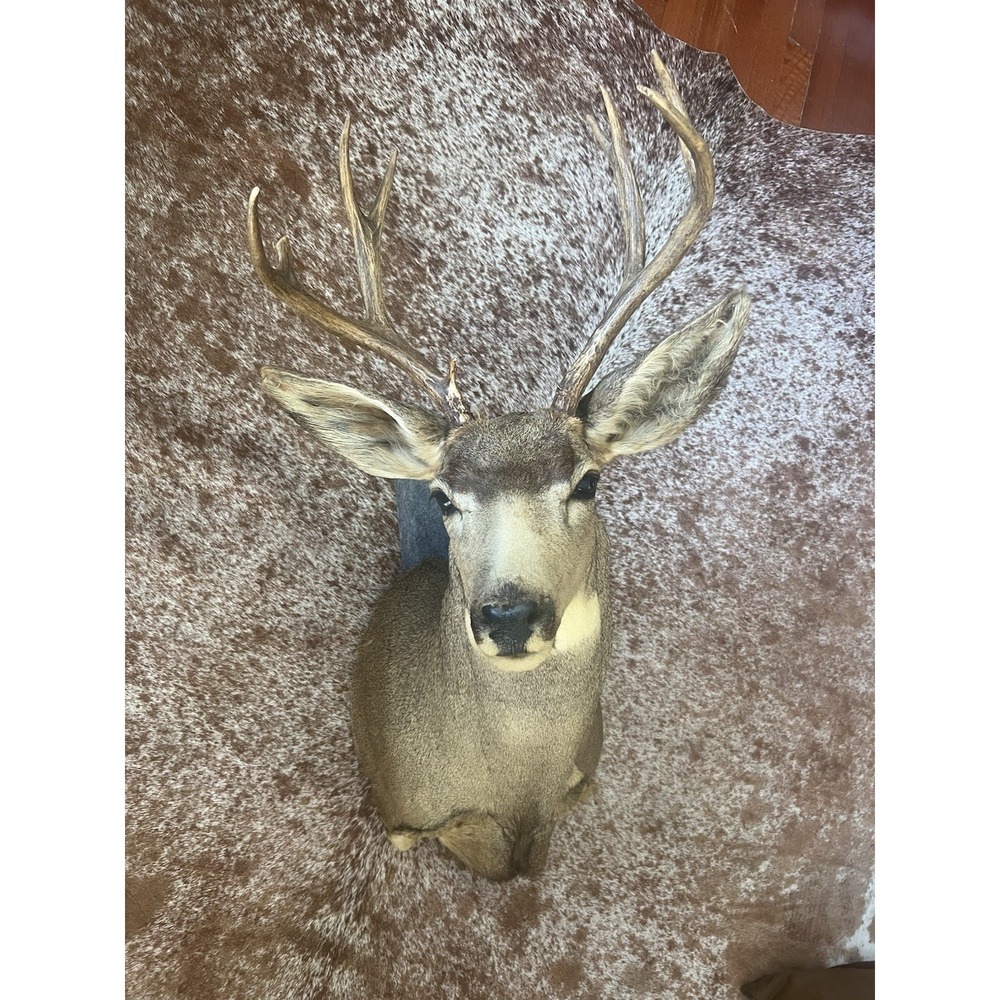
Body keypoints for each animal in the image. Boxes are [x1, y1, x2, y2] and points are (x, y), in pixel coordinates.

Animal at [247, 51, 750, 881]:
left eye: (588, 482)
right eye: (445, 497)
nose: (508, 614)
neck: (514, 787)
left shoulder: (579, 781)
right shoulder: (405, 814)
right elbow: (440, 841)